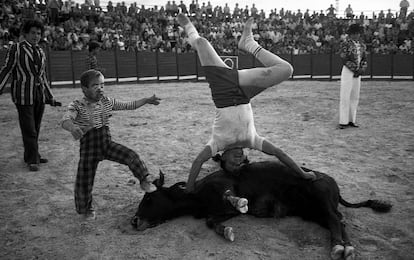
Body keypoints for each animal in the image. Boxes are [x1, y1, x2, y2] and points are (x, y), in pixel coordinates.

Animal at [130, 161, 392, 258]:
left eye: (149, 198)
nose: (134, 221)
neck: (196, 196)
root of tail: (332, 181)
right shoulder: (218, 213)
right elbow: (211, 221)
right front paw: (226, 231)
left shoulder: (226, 187)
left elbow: (231, 197)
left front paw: (240, 203)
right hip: (312, 212)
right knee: (337, 220)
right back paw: (347, 248)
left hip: (319, 200)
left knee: (335, 219)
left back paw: (338, 246)